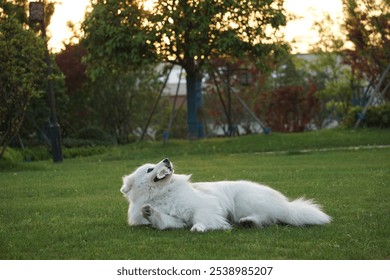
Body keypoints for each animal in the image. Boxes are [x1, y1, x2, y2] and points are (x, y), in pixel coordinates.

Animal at [120, 158, 330, 232]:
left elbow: (202, 218)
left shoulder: (204, 205)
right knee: (266, 220)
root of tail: (287, 205)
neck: (162, 194)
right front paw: (149, 211)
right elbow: (163, 220)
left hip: (244, 200)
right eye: (149, 169)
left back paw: (247, 222)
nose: (166, 160)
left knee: (267, 217)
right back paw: (248, 223)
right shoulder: (174, 220)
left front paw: (201, 227)